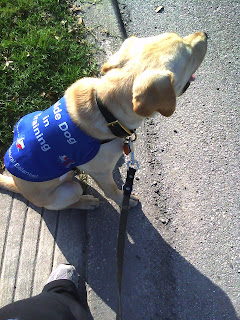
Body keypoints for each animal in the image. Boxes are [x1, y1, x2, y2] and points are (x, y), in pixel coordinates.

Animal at [0, 31, 206, 210]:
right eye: (189, 57)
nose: (205, 34)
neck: (106, 110)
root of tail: (17, 185)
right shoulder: (101, 173)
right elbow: (112, 190)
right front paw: (125, 200)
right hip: (70, 190)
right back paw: (86, 202)